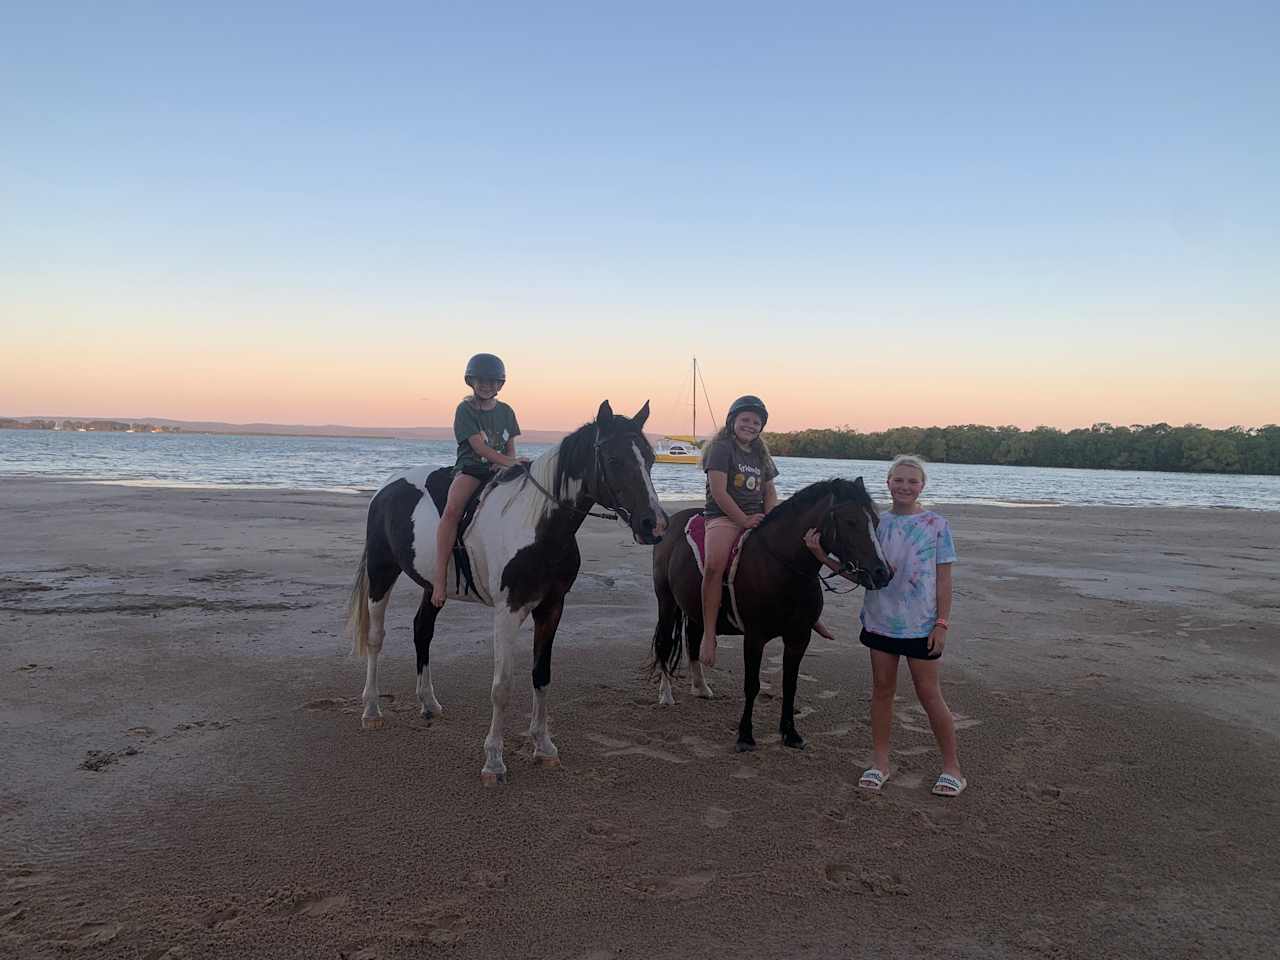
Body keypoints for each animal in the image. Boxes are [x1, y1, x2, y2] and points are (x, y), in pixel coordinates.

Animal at [350, 401, 670, 783]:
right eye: (613, 458)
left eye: (650, 459)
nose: (655, 525)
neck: (538, 527)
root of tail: (386, 488)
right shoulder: (508, 611)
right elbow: (502, 687)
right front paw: (493, 759)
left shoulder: (551, 608)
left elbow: (541, 675)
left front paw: (543, 746)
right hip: (381, 571)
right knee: (376, 638)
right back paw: (371, 710)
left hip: (433, 587)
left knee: (422, 630)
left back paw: (428, 702)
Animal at [650, 478, 890, 752]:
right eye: (851, 521)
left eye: (877, 521)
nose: (882, 572)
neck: (781, 566)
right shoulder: (754, 637)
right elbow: (752, 685)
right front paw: (745, 736)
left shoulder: (799, 638)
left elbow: (790, 684)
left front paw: (790, 733)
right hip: (666, 601)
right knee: (665, 643)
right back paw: (666, 694)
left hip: (694, 610)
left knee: (693, 638)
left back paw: (701, 687)